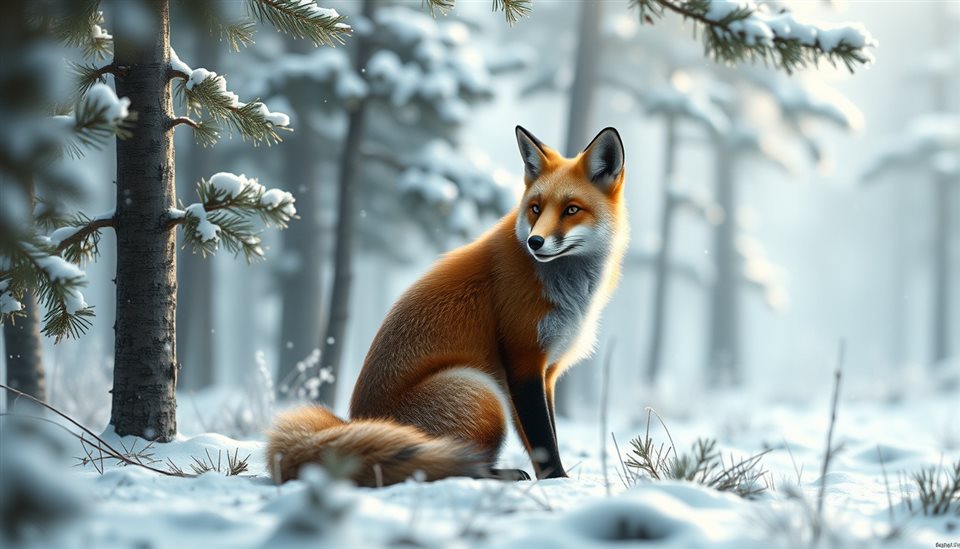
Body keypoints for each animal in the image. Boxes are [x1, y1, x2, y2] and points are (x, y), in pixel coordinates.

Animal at [267, 126, 628, 486]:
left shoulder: (546, 372)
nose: (534, 242)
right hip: (480, 390)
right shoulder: (523, 359)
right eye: (536, 209)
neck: (567, 287)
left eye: (571, 210)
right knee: (455, 464)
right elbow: (542, 438)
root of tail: (354, 421)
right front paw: (559, 480)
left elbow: (541, 434)